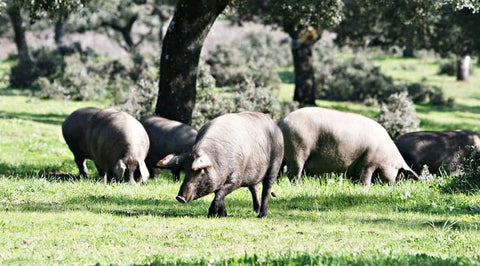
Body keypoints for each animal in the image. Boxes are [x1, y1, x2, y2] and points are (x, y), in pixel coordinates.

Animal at [280, 107, 418, 186]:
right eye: (398, 171)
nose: (396, 185)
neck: (388, 157)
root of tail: (282, 122)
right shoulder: (369, 162)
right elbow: (366, 177)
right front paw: (365, 187)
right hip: (297, 152)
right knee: (293, 173)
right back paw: (296, 185)